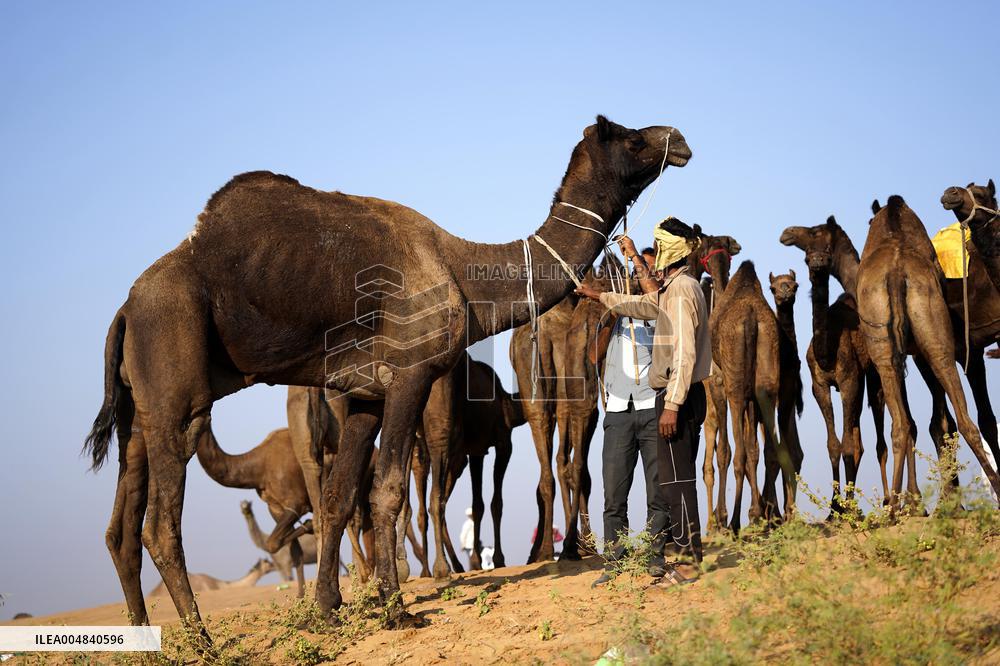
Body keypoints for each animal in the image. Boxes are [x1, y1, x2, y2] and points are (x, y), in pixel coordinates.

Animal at [84, 114, 692, 635]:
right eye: (630, 137)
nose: (679, 138)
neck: (463, 274)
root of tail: (124, 310)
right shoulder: (410, 374)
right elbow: (387, 489)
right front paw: (396, 609)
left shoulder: (363, 396)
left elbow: (337, 497)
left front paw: (329, 609)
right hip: (174, 378)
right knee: (160, 522)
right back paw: (200, 640)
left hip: (138, 410)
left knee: (120, 528)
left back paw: (147, 636)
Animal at [709, 261, 795, 531]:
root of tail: (751, 319)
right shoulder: (753, 397)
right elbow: (754, 447)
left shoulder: (719, 383)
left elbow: (725, 451)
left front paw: (721, 517)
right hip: (767, 380)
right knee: (768, 449)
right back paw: (765, 515)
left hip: (736, 387)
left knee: (739, 453)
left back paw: (735, 521)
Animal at [856, 196, 1000, 505]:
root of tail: (896, 272)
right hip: (931, 342)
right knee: (959, 420)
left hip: (899, 344)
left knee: (908, 424)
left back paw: (896, 506)